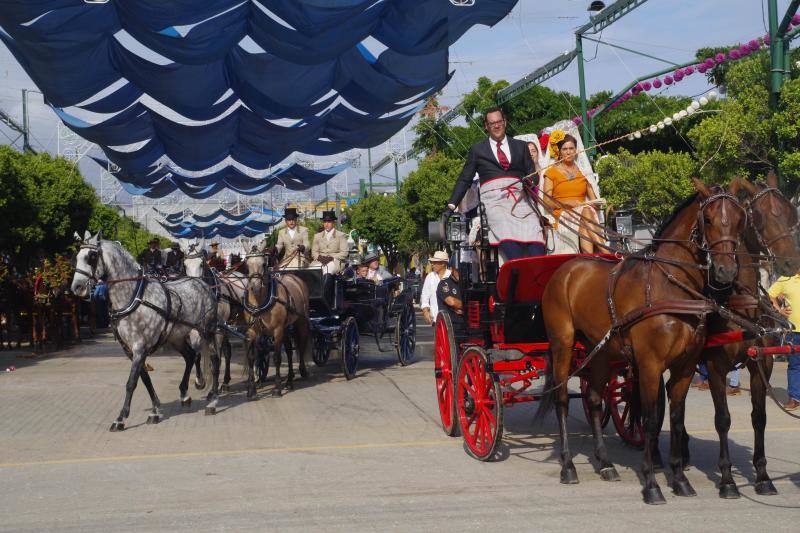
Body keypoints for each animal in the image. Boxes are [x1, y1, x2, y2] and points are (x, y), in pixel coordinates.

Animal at [70, 232, 216, 428]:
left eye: (92, 257)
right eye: (76, 257)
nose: (76, 287)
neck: (133, 298)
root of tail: (201, 283)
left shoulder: (140, 347)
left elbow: (131, 382)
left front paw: (121, 417)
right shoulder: (131, 350)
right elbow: (145, 379)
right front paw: (155, 409)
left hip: (207, 331)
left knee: (214, 359)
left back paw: (213, 400)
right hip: (175, 337)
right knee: (191, 356)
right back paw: (185, 394)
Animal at [242, 243, 310, 396]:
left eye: (263, 264)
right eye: (247, 265)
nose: (255, 287)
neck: (260, 302)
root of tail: (295, 277)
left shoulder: (277, 330)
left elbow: (277, 358)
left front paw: (277, 387)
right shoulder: (252, 332)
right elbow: (252, 358)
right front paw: (251, 389)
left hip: (301, 322)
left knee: (301, 344)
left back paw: (302, 370)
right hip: (286, 328)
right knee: (289, 351)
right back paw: (289, 380)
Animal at [540, 178, 748, 502]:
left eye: (740, 219)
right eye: (709, 219)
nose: (726, 271)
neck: (670, 286)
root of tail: (567, 268)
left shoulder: (685, 367)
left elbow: (676, 418)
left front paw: (679, 479)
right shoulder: (650, 365)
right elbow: (650, 421)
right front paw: (651, 483)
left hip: (600, 352)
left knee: (595, 399)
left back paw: (605, 463)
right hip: (562, 343)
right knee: (561, 398)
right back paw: (568, 465)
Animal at [696, 174, 796, 498]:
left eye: (791, 211)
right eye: (759, 217)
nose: (791, 261)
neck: (740, 304)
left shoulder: (761, 364)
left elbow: (759, 418)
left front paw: (763, 476)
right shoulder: (715, 367)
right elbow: (723, 419)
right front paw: (728, 479)